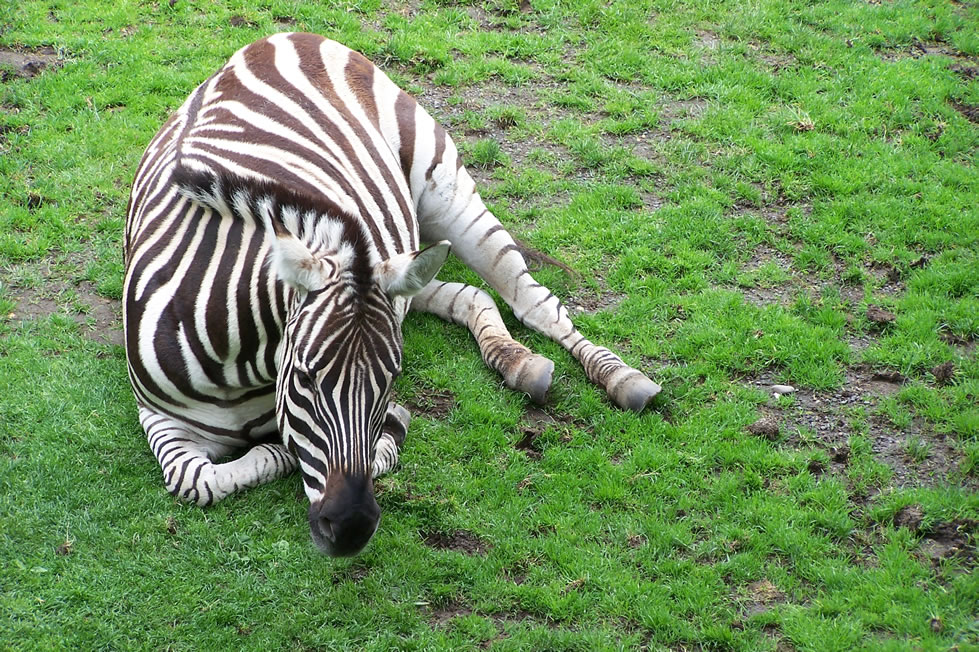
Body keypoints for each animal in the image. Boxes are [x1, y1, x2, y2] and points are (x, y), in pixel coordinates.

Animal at [124, 32, 660, 557]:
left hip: (444, 190)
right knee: (472, 294)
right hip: (400, 270)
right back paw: (519, 362)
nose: (352, 527)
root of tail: (276, 37)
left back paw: (623, 379)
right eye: (305, 378)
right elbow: (197, 480)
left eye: (393, 377)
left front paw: (378, 434)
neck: (240, 364)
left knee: (533, 303)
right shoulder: (159, 418)